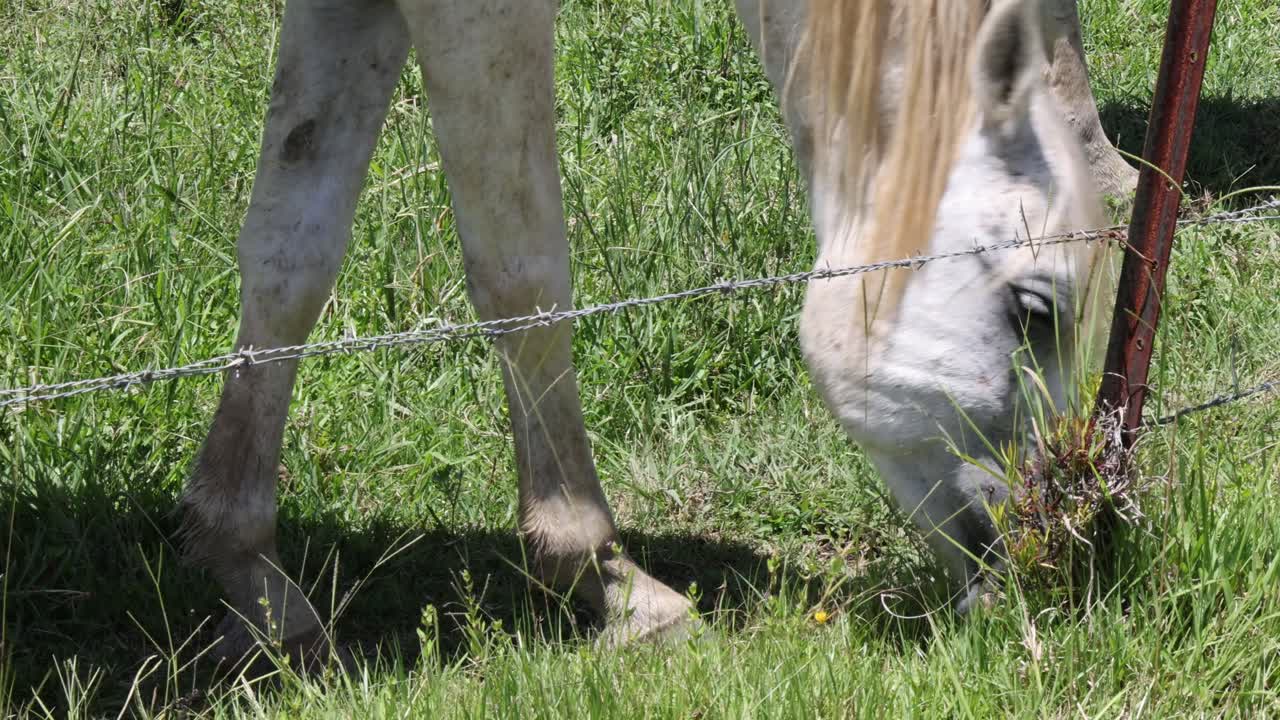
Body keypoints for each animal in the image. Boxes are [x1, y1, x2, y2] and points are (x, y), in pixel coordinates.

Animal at [179, 0, 1119, 662]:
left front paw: (254, 583)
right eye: (1037, 310)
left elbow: (292, 252)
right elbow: (522, 279)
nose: (1037, 556)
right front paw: (607, 578)